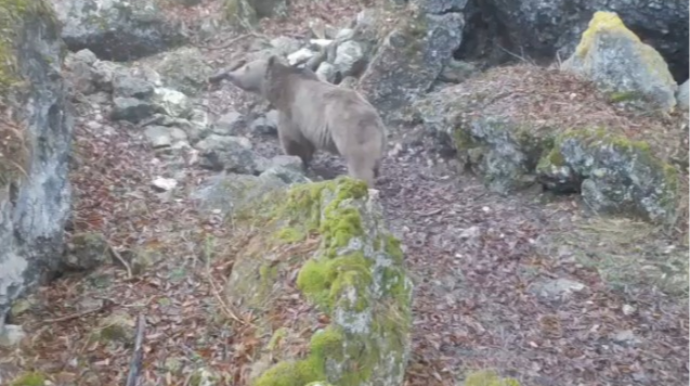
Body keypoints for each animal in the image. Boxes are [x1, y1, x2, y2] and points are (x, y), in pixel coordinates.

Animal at [260, 55, 388, 186]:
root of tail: (373, 117)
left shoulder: (293, 112)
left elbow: (292, 139)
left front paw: (296, 159)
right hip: (379, 138)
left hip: (352, 130)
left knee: (360, 161)